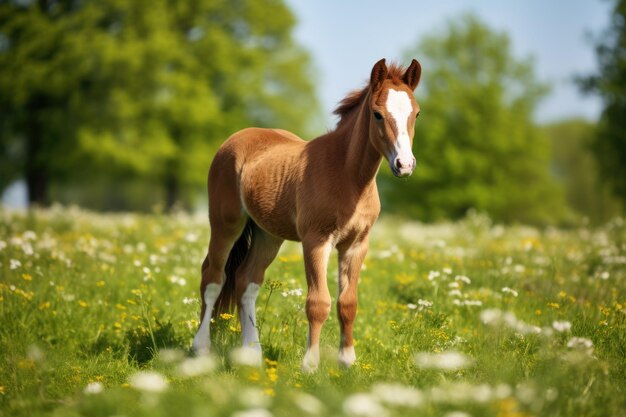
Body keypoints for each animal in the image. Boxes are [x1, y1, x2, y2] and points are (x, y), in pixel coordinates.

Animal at [193, 58, 422, 370]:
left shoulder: (356, 245)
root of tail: (234, 140)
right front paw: (310, 365)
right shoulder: (316, 241)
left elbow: (347, 303)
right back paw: (201, 349)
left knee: (246, 281)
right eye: (377, 114)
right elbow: (318, 303)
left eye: (416, 114)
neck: (347, 176)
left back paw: (251, 355)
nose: (404, 165)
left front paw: (347, 362)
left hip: (268, 235)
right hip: (225, 224)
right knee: (213, 277)